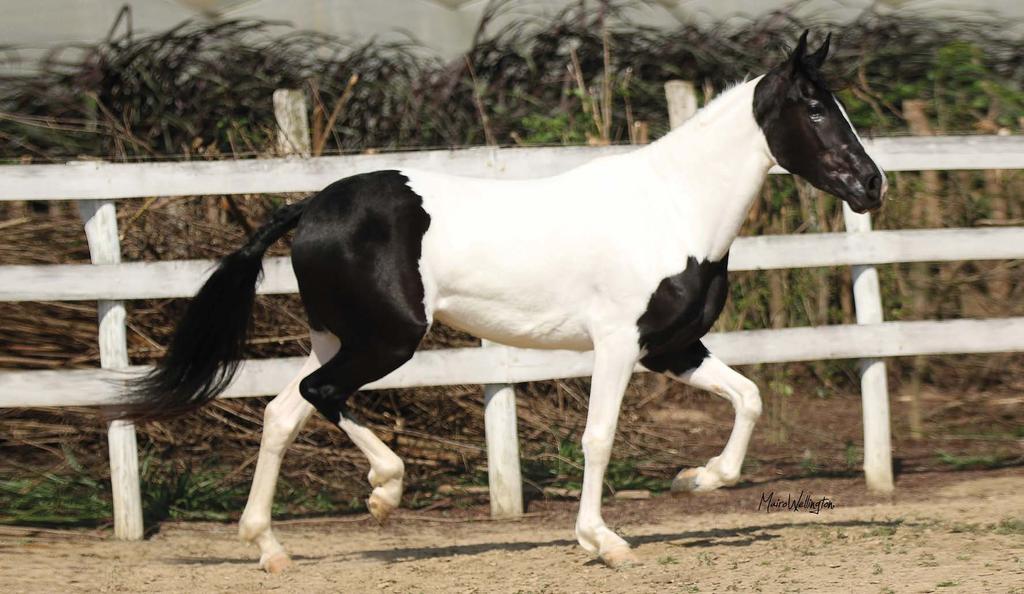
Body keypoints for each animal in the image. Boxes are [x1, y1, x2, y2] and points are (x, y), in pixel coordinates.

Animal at [123, 32, 884, 569]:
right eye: (817, 109)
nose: (872, 185)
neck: (674, 210)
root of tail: (309, 207)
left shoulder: (670, 348)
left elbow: (749, 397)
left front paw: (696, 481)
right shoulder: (618, 345)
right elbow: (599, 437)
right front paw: (602, 541)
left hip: (339, 338)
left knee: (286, 411)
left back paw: (274, 546)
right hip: (387, 340)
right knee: (318, 394)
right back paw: (382, 491)